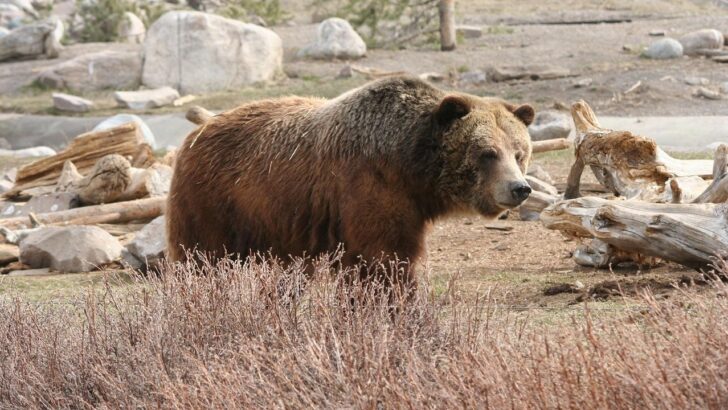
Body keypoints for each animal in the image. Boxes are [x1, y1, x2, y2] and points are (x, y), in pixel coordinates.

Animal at [167, 76, 534, 288]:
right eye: (487, 153)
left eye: (519, 153)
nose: (519, 188)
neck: (410, 166)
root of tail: (194, 135)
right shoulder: (369, 188)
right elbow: (384, 259)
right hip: (214, 203)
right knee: (201, 258)